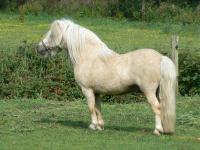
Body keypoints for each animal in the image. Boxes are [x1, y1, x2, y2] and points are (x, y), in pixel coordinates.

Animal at [36, 18, 176, 135]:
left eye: (51, 34)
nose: (38, 48)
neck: (88, 56)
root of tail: (160, 57)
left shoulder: (86, 90)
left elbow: (91, 107)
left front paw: (93, 125)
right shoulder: (96, 92)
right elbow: (98, 108)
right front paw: (100, 126)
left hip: (149, 91)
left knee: (157, 108)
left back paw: (157, 130)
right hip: (157, 91)